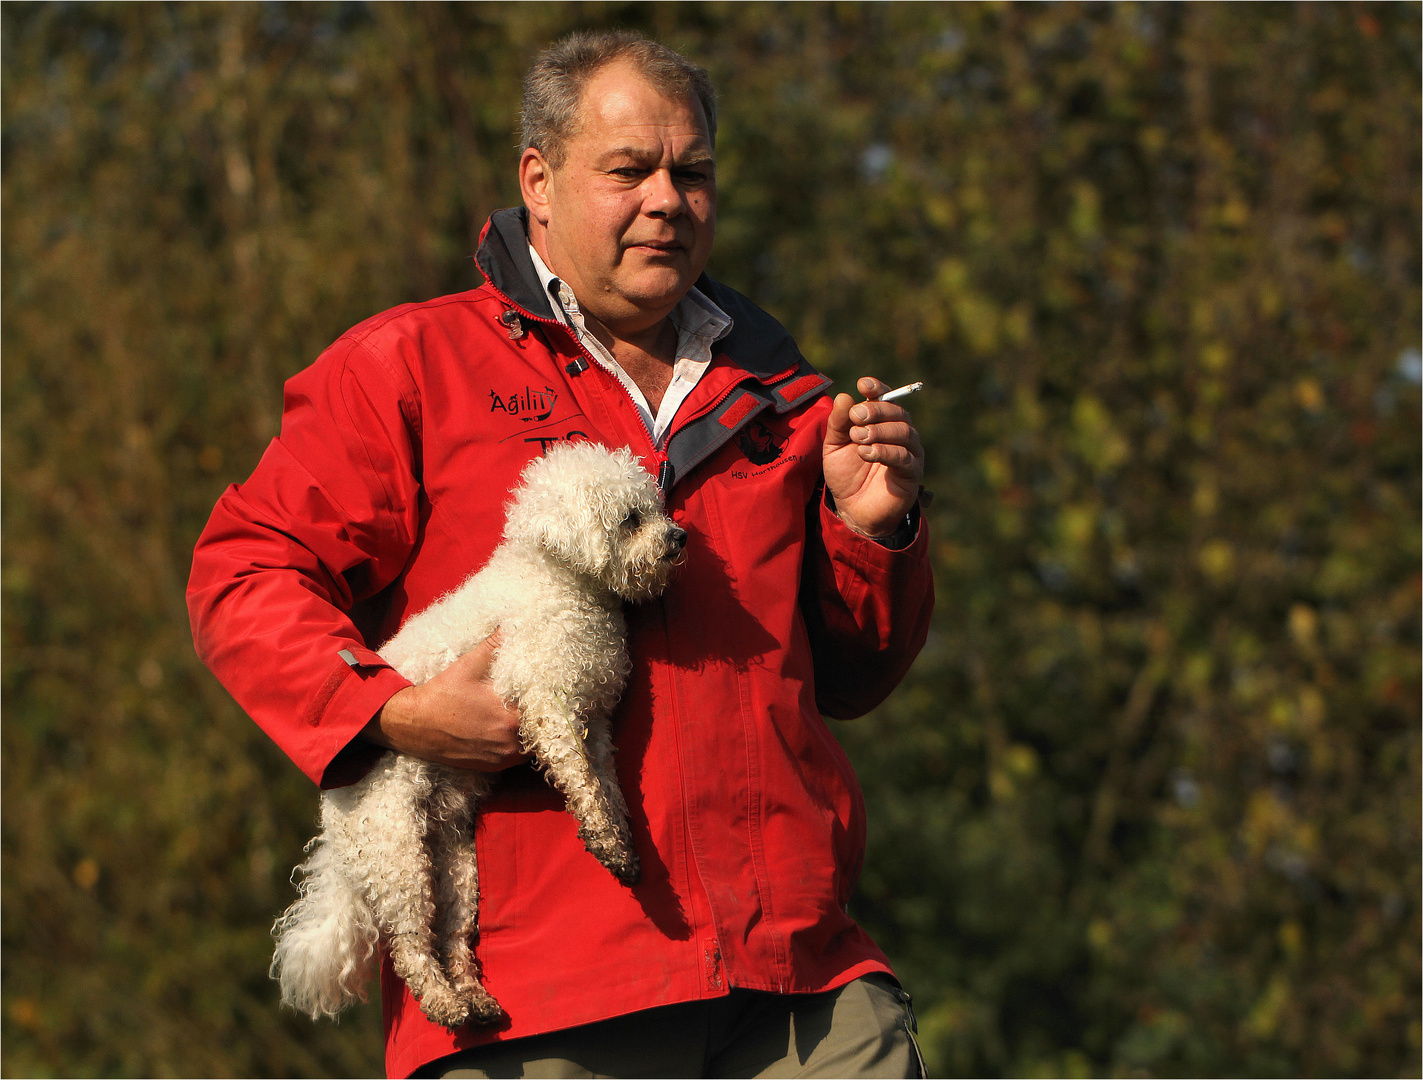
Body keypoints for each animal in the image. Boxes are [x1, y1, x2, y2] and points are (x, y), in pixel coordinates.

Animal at [270, 446, 688, 1030]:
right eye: (631, 519)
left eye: (656, 507)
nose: (680, 536)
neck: (560, 582)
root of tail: (332, 820)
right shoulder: (546, 702)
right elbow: (581, 781)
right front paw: (605, 840)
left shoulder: (595, 720)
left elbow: (605, 783)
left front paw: (622, 843)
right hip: (397, 850)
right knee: (410, 946)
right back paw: (447, 1006)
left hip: (454, 864)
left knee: (453, 939)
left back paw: (475, 998)